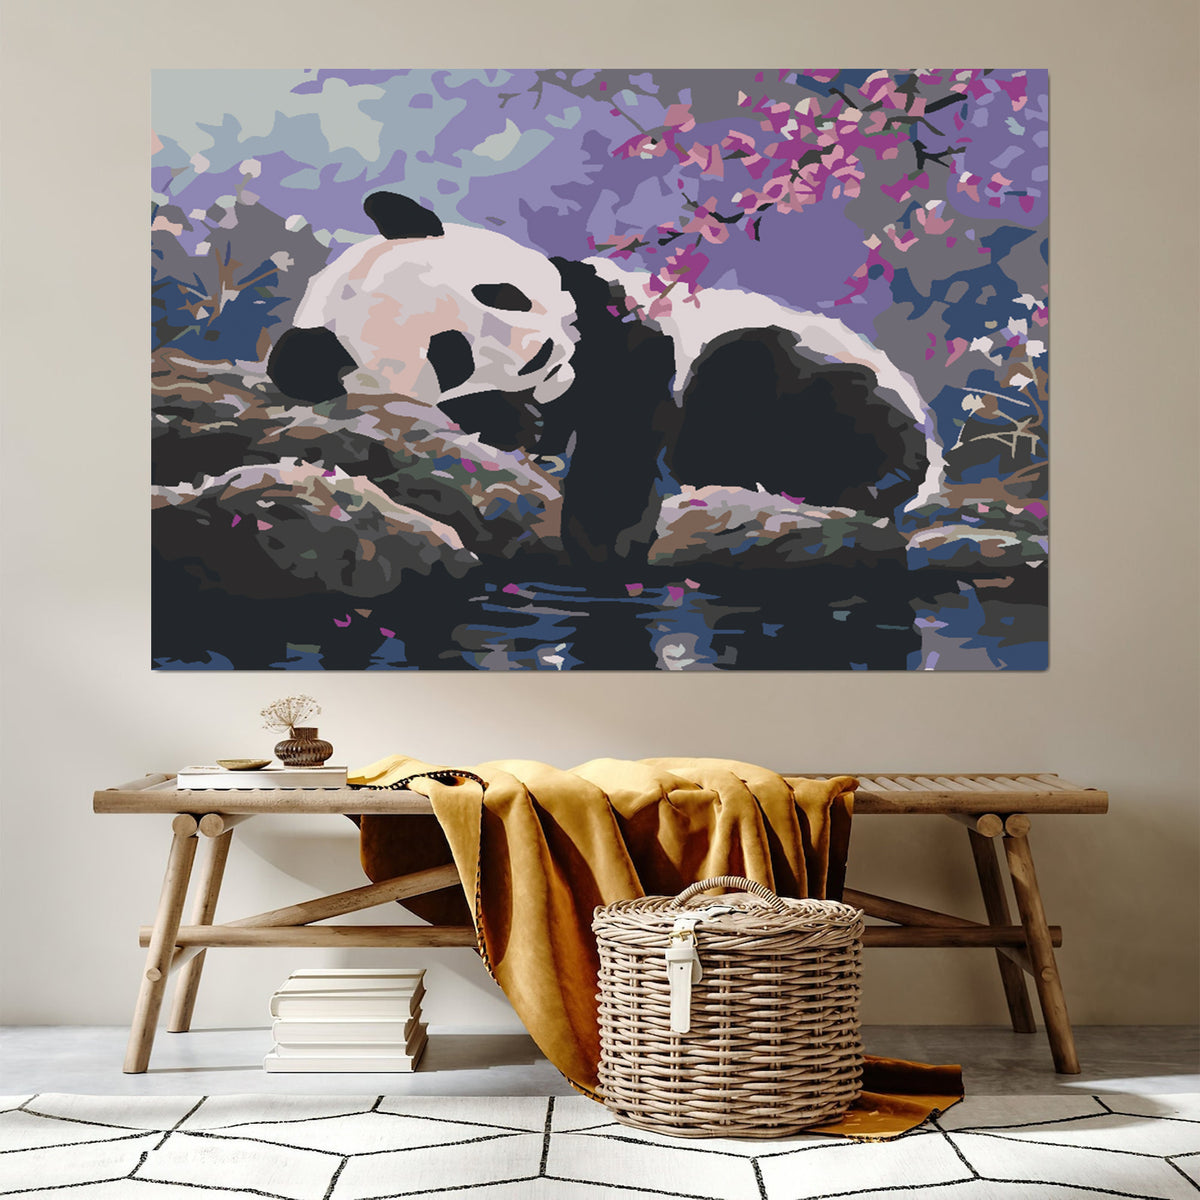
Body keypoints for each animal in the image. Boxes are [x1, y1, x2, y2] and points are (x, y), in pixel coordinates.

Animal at [267, 190, 945, 567]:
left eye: (500, 293)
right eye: (450, 353)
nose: (541, 354)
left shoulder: (617, 313)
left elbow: (624, 399)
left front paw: (606, 538)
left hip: (826, 380)